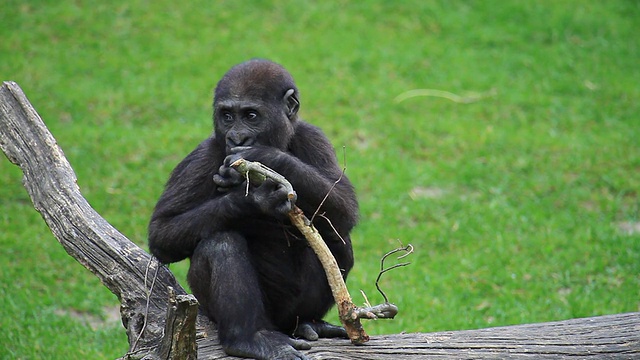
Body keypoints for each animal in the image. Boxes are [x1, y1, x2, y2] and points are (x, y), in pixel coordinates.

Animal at [149, 59, 360, 360]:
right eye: (227, 116)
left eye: (251, 115)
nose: (237, 138)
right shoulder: (201, 156)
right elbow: (162, 232)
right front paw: (251, 201)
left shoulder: (314, 137)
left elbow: (344, 206)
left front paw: (265, 157)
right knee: (221, 242)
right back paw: (246, 338)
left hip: (288, 317)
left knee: (337, 237)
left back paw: (310, 322)